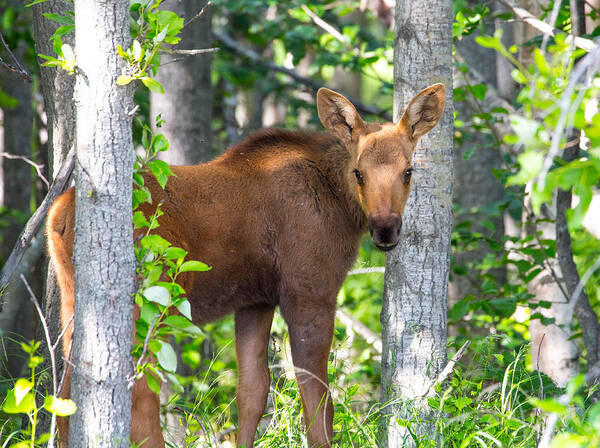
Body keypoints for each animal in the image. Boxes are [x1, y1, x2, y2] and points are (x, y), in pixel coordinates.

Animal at [48, 83, 446, 444]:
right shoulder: (310, 292)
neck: (342, 205)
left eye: (408, 171)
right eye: (359, 173)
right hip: (152, 300)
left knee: (67, 395)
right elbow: (318, 400)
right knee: (141, 391)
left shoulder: (255, 301)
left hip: (72, 301)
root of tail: (58, 215)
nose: (385, 229)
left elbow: (252, 392)